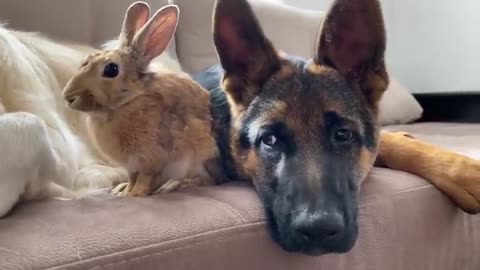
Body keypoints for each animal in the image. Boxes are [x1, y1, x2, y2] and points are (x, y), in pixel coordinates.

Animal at [61, 1, 218, 196]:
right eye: (85, 60)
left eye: (111, 69)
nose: (69, 97)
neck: (127, 102)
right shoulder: (131, 165)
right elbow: (132, 177)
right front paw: (123, 191)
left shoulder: (150, 158)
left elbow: (145, 178)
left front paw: (135, 194)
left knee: (207, 179)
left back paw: (173, 184)